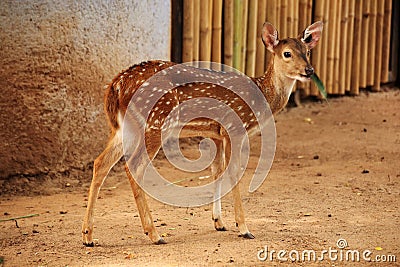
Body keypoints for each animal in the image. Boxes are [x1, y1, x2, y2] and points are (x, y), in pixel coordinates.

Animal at [83, 20, 324, 247]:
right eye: (287, 53)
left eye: (307, 51)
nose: (309, 70)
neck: (261, 98)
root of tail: (116, 85)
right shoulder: (234, 128)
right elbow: (234, 173)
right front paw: (243, 228)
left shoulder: (216, 134)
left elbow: (217, 171)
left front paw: (219, 222)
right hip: (156, 122)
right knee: (133, 165)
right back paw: (154, 234)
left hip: (125, 128)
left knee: (100, 162)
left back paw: (88, 235)